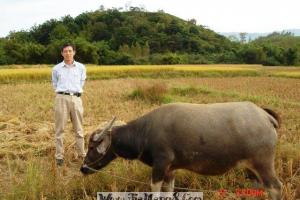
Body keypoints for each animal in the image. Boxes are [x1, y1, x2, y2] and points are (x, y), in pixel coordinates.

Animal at [79, 102, 282, 199]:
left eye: (92, 146)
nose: (83, 168)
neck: (145, 132)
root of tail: (264, 115)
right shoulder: (170, 170)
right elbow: (168, 192)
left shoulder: (160, 166)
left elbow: (155, 191)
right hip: (252, 168)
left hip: (264, 164)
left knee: (275, 188)